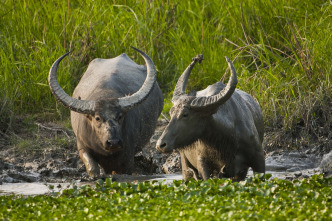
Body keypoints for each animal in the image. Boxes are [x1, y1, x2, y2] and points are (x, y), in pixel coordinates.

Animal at [48, 48, 163, 178]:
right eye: (97, 118)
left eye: (120, 116)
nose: (113, 142)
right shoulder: (82, 146)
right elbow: (92, 168)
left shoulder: (127, 158)